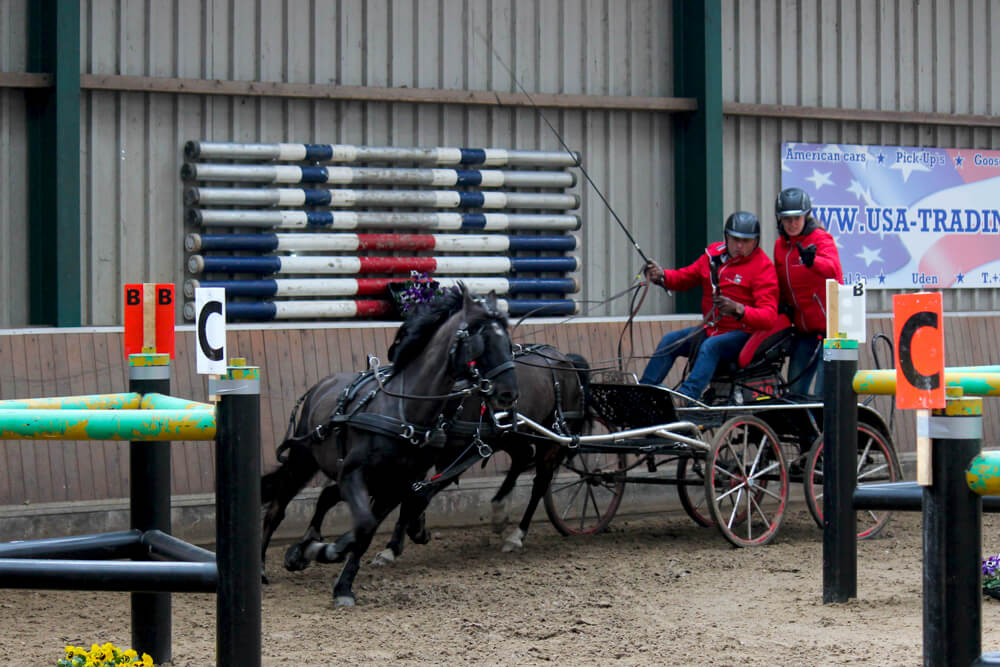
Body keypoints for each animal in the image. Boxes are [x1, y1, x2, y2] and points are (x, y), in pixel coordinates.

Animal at [259, 285, 518, 606]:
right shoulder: (354, 474)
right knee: (277, 508)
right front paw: (327, 555)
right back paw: (263, 567)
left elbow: (366, 530)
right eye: (482, 342)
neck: (405, 413)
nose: (509, 393)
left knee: (327, 496)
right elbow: (364, 525)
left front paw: (339, 578)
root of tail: (321, 386)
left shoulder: (396, 484)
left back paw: (305, 546)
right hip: (303, 460)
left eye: (508, 342)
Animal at [270, 344, 590, 574]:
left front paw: (406, 536)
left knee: (540, 483)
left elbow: (412, 498)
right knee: (522, 460)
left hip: (549, 439)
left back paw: (516, 535)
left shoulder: (456, 454)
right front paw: (396, 541)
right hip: (513, 436)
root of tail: (564, 358)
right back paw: (499, 509)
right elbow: (404, 498)